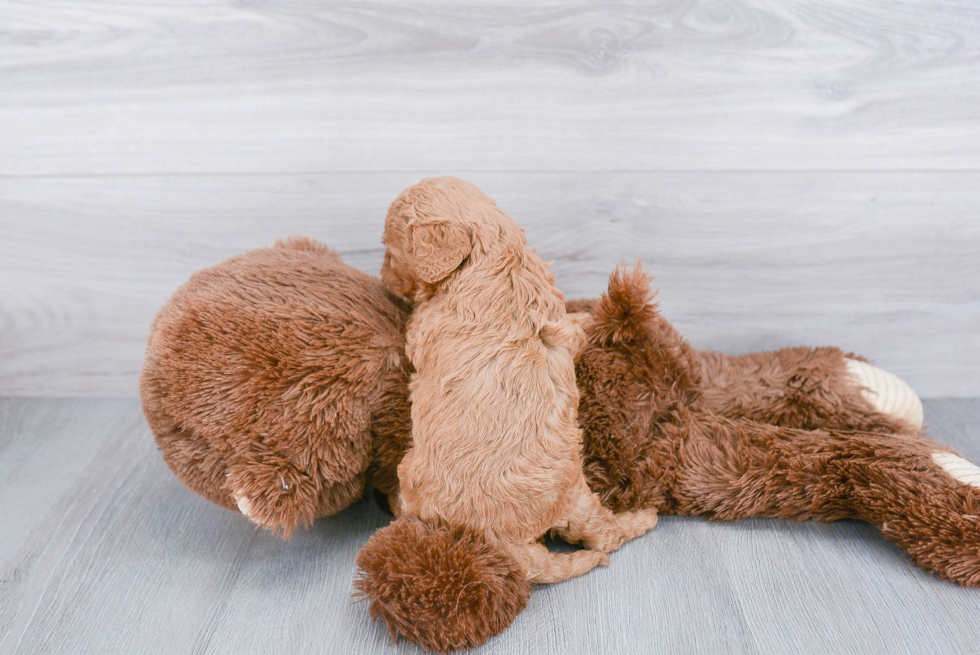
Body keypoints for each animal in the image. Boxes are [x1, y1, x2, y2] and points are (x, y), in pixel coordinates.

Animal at [382, 177, 660, 580]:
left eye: (390, 253)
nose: (384, 280)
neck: (497, 255)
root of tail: (507, 542)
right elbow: (576, 330)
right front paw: (590, 318)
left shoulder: (422, 328)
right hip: (578, 495)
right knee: (606, 534)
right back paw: (643, 518)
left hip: (413, 474)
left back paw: (392, 500)